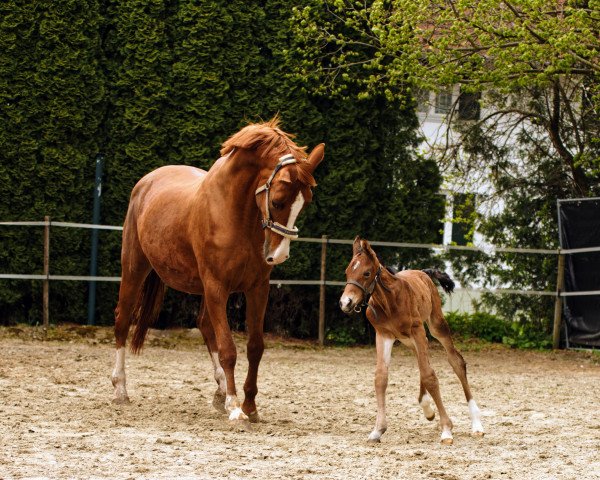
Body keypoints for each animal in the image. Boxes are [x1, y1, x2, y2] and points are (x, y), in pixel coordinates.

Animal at [338, 238, 482, 444]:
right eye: (347, 272)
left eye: (366, 273)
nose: (346, 303)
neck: (389, 301)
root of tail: (423, 272)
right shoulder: (383, 335)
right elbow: (381, 377)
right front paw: (378, 430)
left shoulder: (417, 330)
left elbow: (430, 376)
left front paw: (446, 429)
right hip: (408, 339)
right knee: (422, 363)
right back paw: (427, 407)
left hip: (435, 326)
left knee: (456, 362)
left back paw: (476, 424)